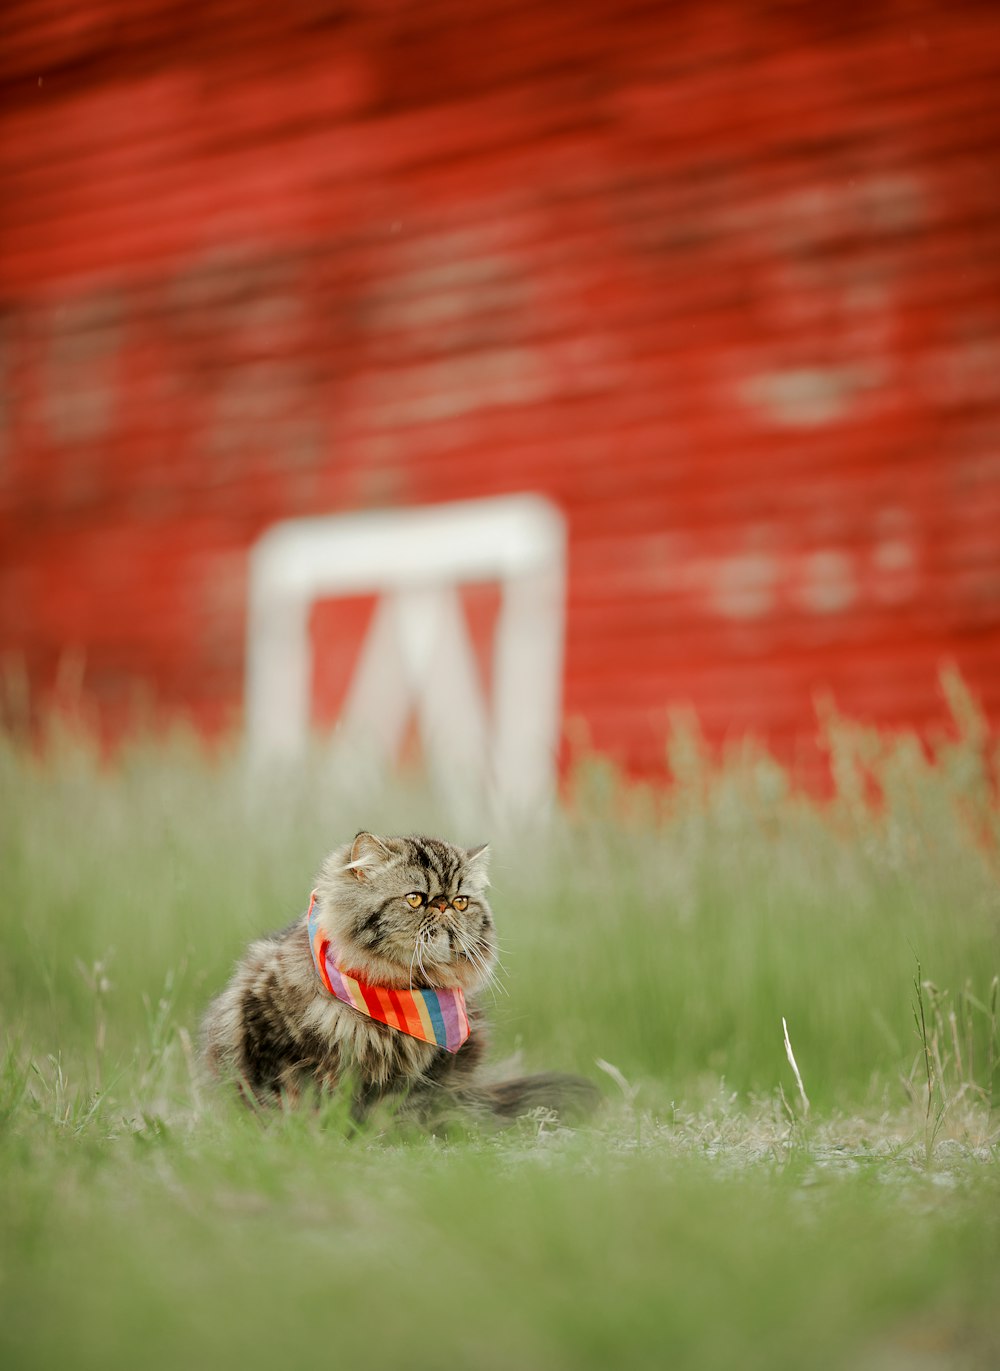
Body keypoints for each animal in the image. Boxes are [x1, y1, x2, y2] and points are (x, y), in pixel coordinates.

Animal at [198, 833, 598, 1124]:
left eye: (461, 902)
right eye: (416, 899)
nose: (443, 906)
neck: (394, 988)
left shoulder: (419, 1078)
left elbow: (395, 1115)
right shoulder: (273, 1050)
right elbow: (288, 1107)